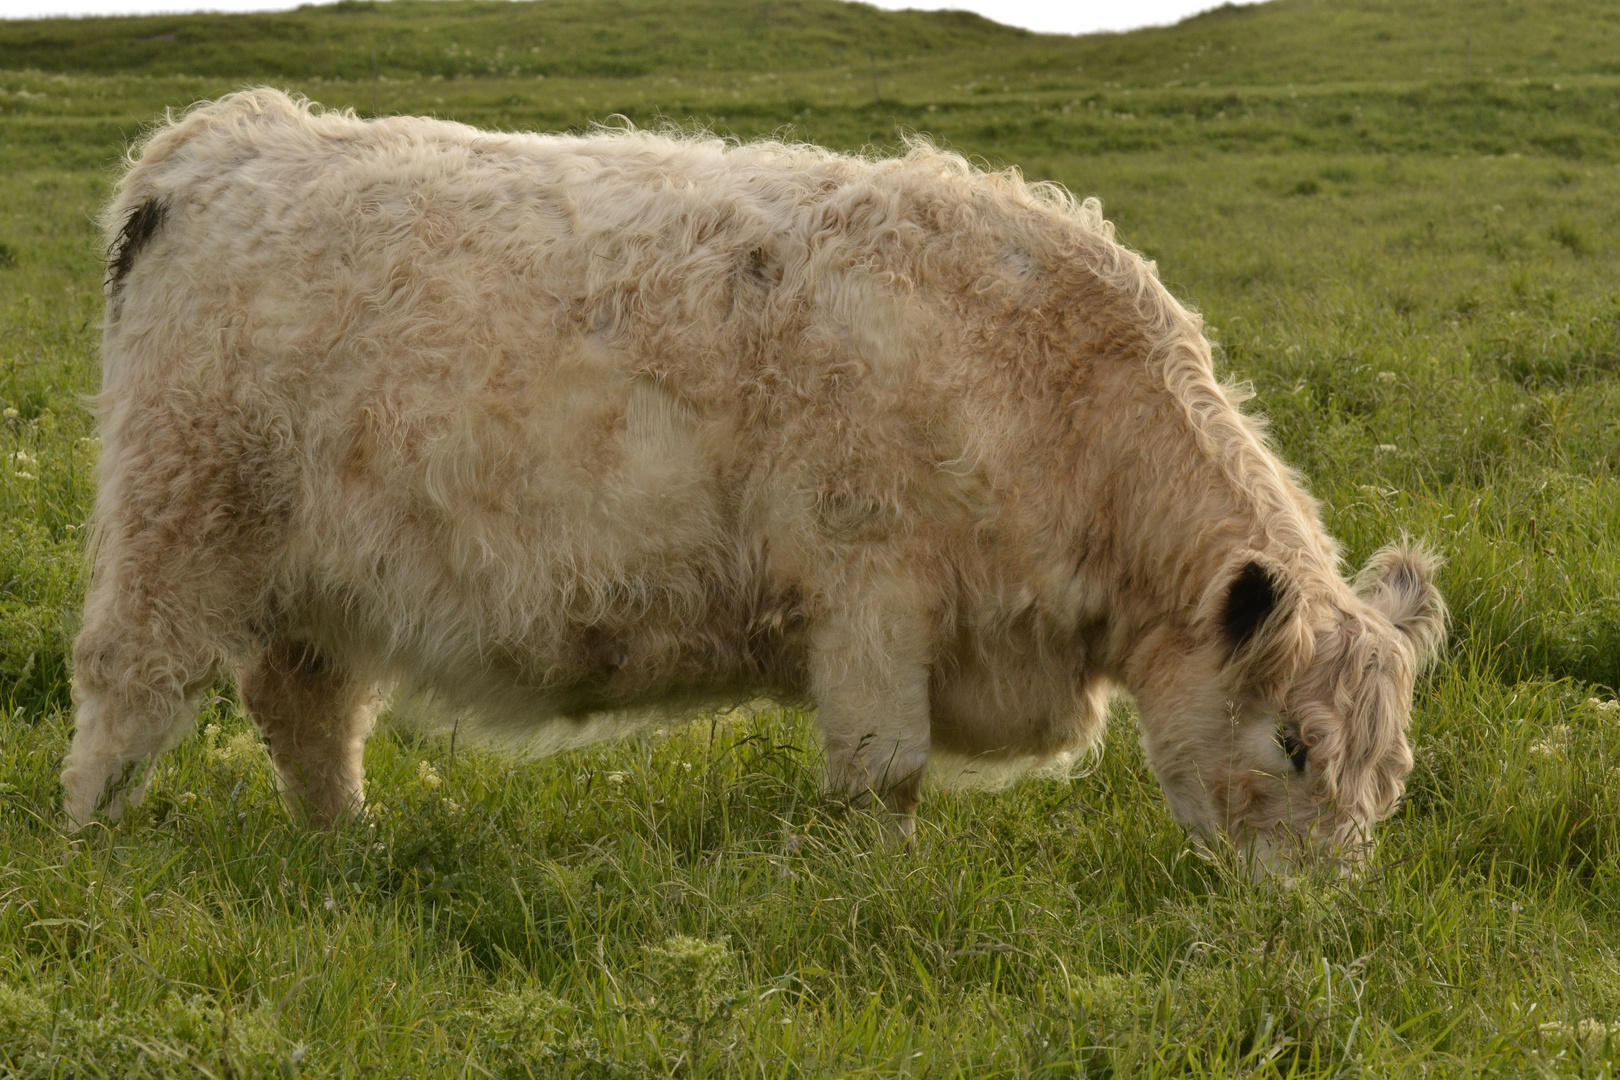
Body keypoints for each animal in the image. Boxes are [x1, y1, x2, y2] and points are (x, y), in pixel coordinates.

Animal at [59, 90, 1445, 867]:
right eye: (1296, 745)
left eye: (1388, 775)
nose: (1313, 921)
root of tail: (229, 140)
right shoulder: (872, 589)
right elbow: (885, 770)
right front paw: (883, 892)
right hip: (178, 515)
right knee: (128, 686)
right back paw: (90, 856)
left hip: (313, 575)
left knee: (308, 712)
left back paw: (348, 853)